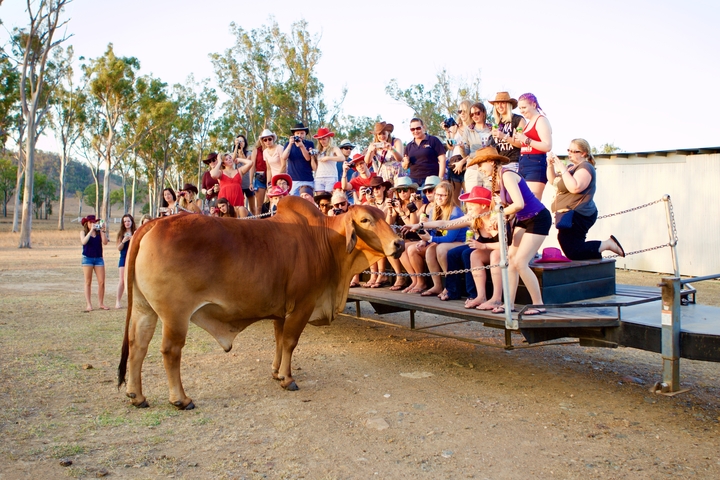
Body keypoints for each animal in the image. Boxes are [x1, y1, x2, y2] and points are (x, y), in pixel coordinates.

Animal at [118, 196, 404, 410]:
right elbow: (289, 342)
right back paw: (181, 399)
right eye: (366, 220)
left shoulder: (281, 310)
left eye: (385, 217)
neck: (325, 240)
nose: (399, 243)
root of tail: (153, 224)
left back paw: (137, 396)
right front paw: (288, 379)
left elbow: (278, 341)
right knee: (170, 351)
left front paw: (277, 372)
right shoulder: (303, 305)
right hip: (175, 315)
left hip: (144, 309)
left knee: (137, 345)